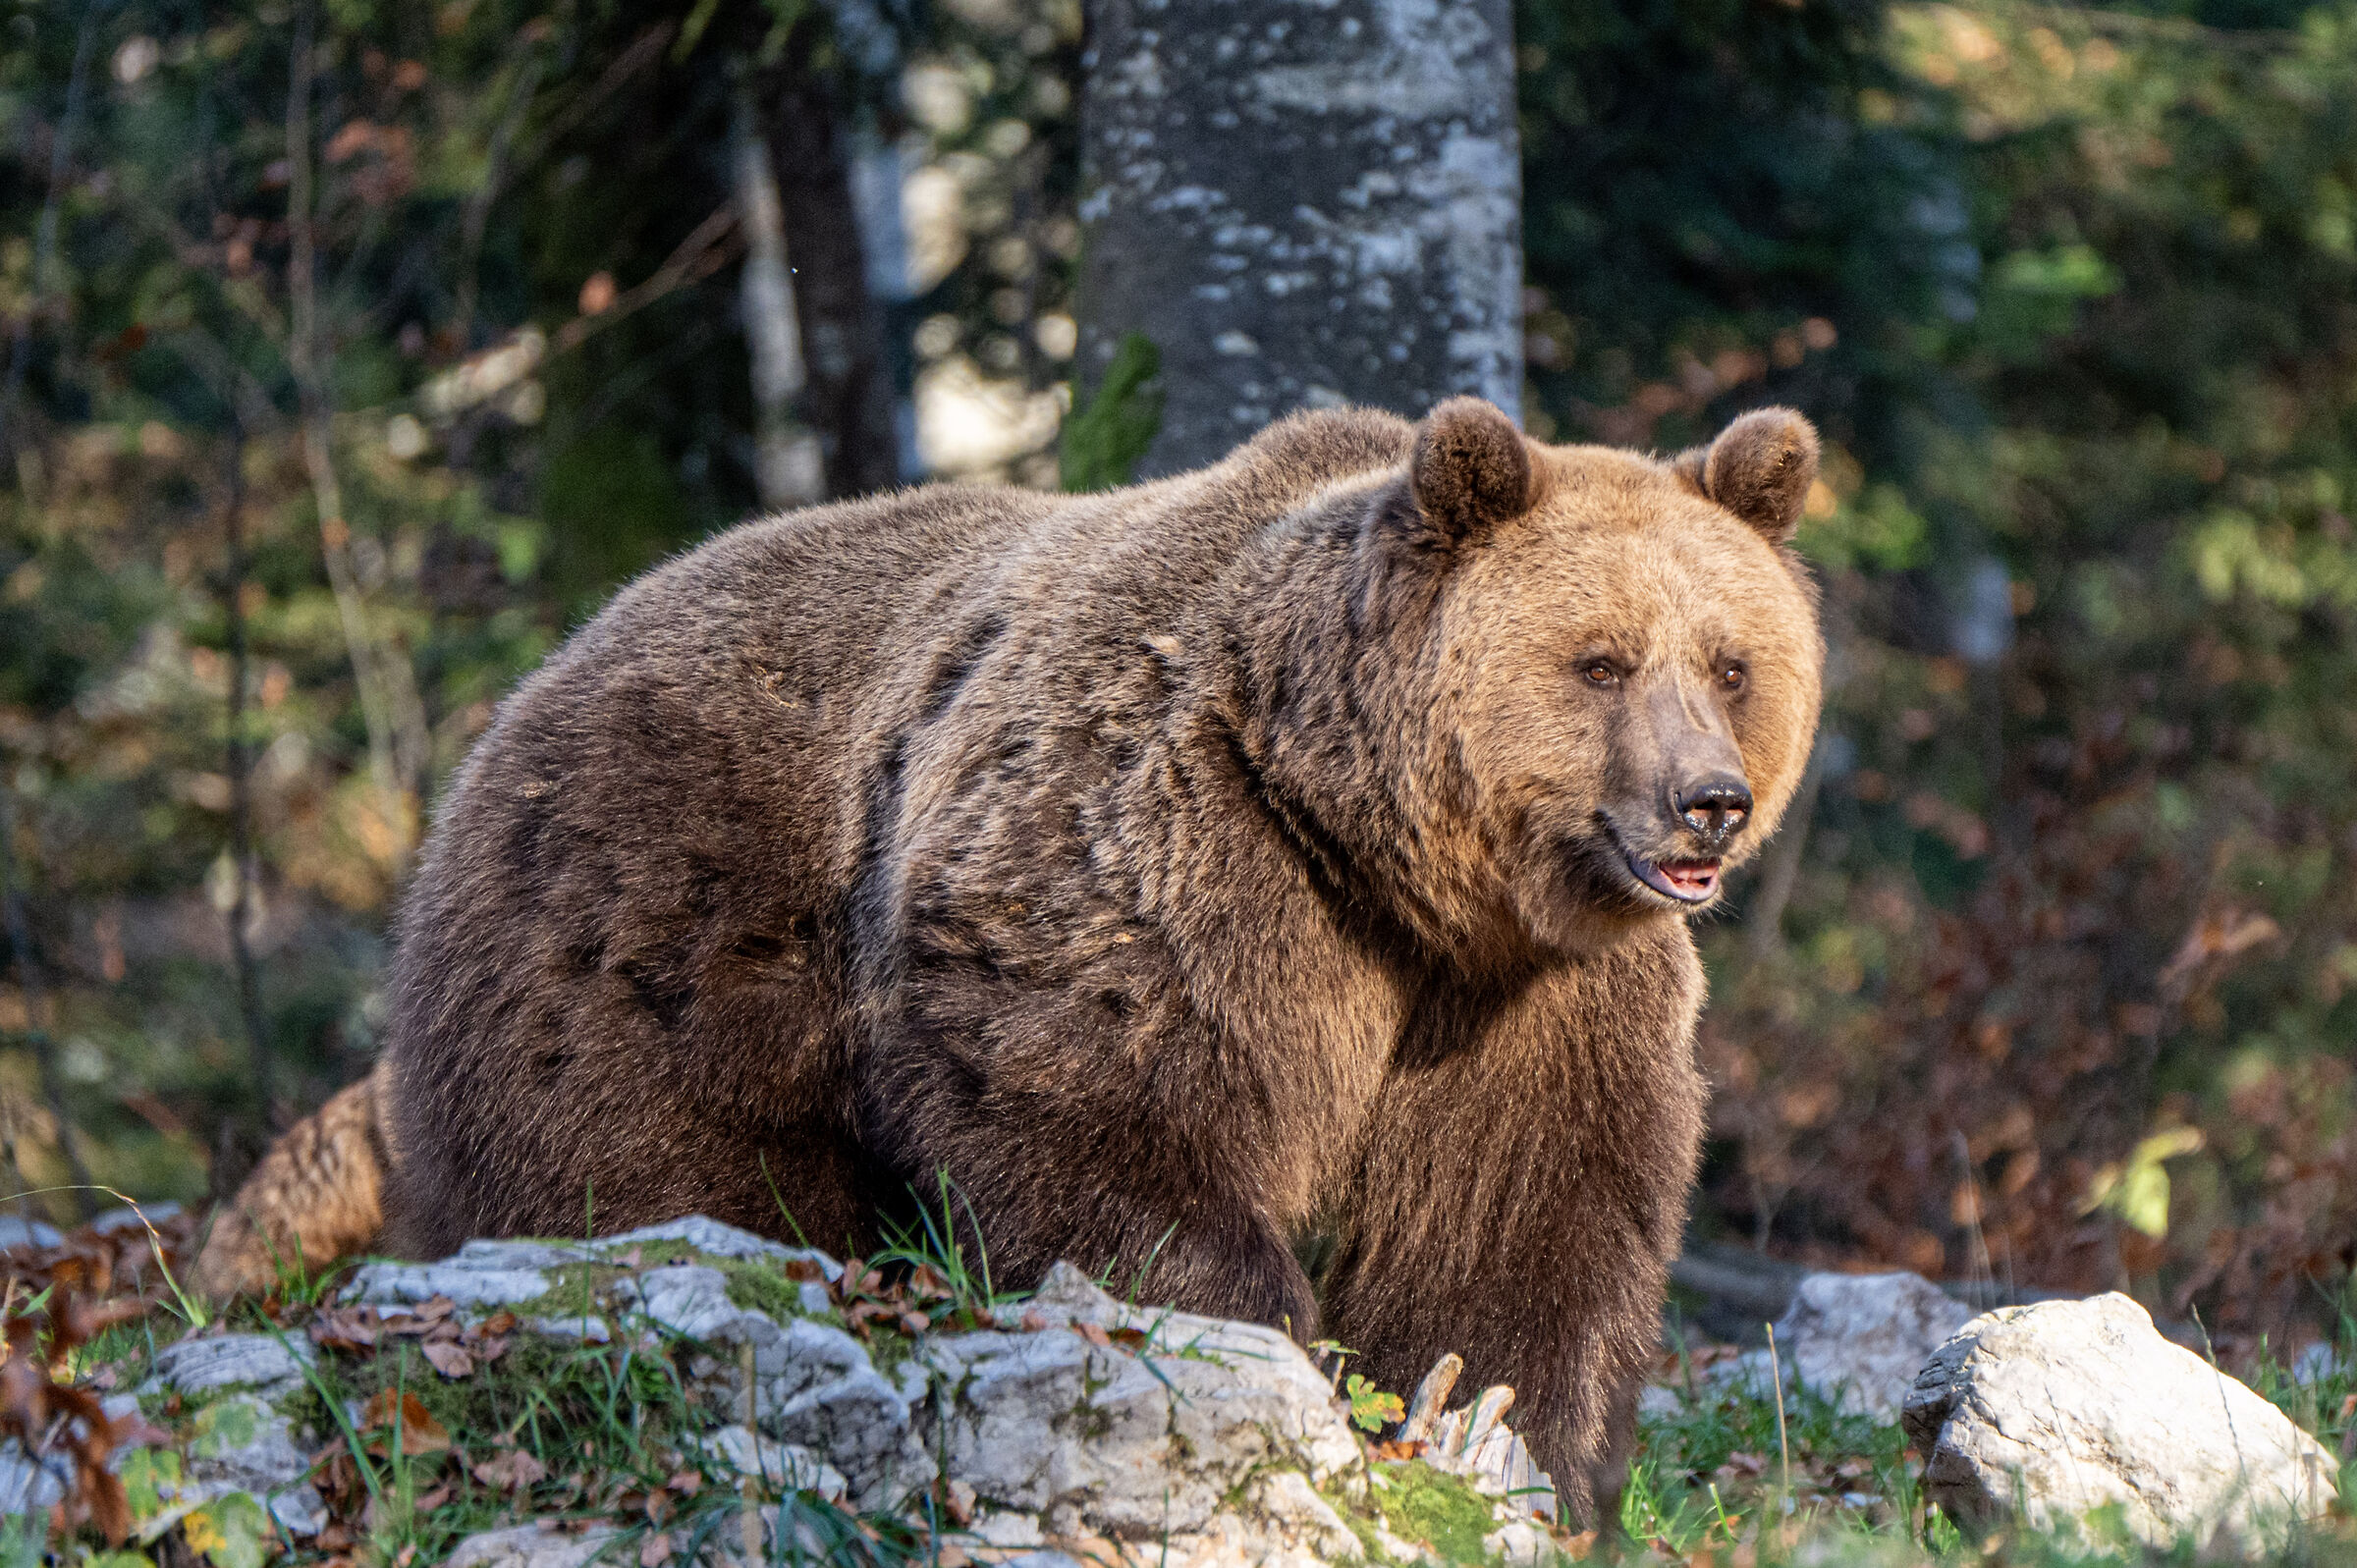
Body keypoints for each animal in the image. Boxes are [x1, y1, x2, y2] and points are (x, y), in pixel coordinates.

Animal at [195, 397, 1823, 1521]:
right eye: (1599, 658)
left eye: (1731, 658)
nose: (1708, 804)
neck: (1381, 853)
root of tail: (537, 676)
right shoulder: (1174, 847)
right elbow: (1090, 1086)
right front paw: (1271, 1350)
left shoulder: (1528, 990)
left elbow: (1527, 1204)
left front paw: (1496, 1422)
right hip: (654, 922)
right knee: (643, 1162)